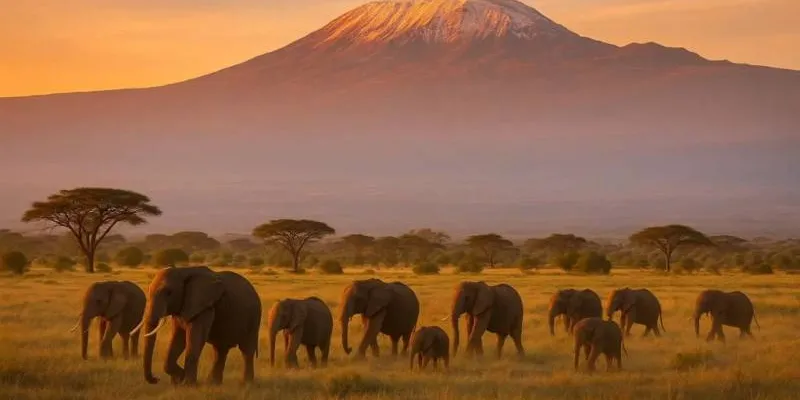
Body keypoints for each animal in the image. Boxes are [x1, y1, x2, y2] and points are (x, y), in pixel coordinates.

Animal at [132, 266, 262, 385]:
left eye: (169, 293)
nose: (156, 379)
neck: (183, 271)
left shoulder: (204, 307)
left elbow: (194, 339)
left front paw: (187, 385)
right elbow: (178, 338)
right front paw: (179, 380)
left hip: (254, 317)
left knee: (246, 350)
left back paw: (246, 384)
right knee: (220, 350)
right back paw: (213, 384)